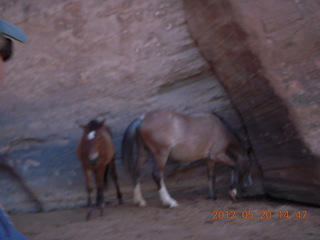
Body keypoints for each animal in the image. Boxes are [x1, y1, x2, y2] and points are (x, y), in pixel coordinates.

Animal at [121, 109, 251, 207]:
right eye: (250, 165)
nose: (247, 185)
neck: (220, 128)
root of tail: (142, 119)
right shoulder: (217, 155)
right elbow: (234, 165)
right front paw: (232, 192)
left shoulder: (209, 159)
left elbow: (211, 176)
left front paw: (212, 196)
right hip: (161, 154)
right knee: (157, 175)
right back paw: (169, 201)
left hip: (144, 152)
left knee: (136, 172)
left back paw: (139, 201)